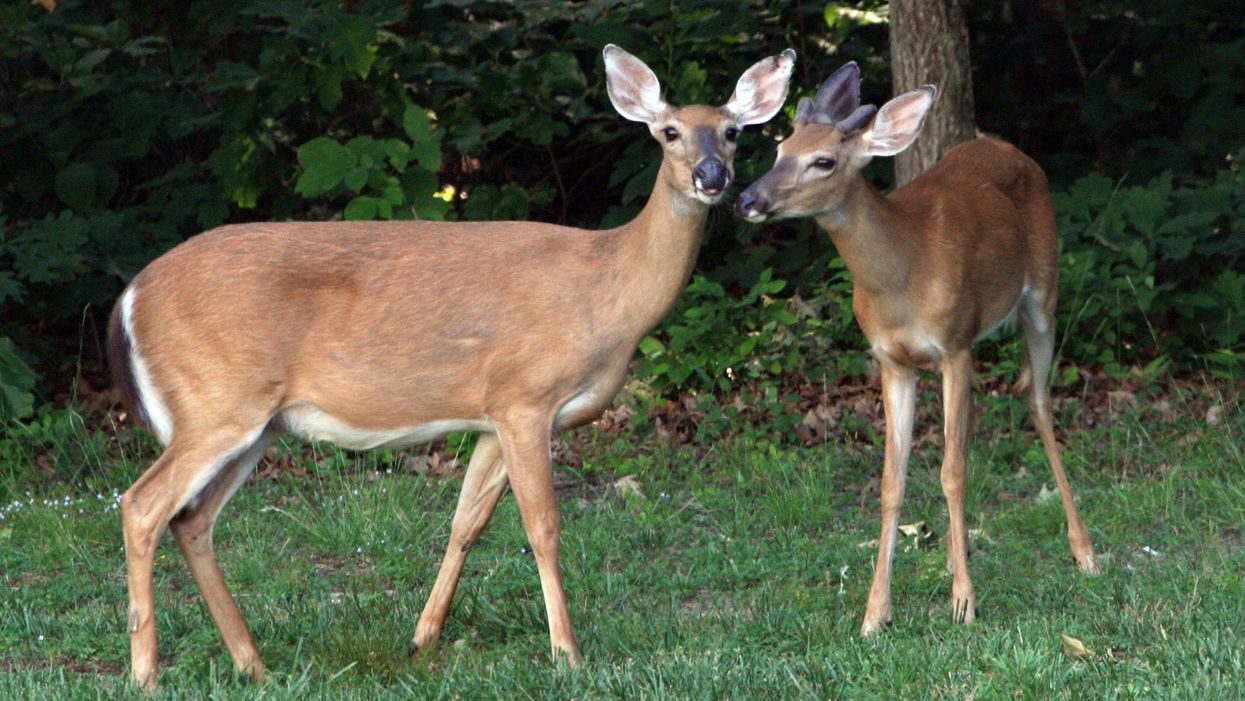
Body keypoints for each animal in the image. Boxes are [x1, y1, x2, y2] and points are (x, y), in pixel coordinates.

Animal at [106, 44, 796, 689]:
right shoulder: (525, 397)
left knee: (192, 521)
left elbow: (466, 522)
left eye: (733, 132)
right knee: (142, 506)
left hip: (257, 421)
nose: (712, 176)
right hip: (217, 401)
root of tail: (130, 298)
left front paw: (423, 638)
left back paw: (255, 666)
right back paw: (146, 673)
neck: (608, 293)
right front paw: (567, 654)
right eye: (669, 131)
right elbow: (543, 526)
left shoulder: (492, 414)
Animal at [735, 62, 1099, 635]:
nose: (746, 200)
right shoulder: (892, 360)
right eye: (779, 150)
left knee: (1037, 400)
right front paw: (874, 613)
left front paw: (964, 602)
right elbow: (892, 482)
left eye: (824, 160)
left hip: (1044, 292)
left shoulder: (952, 344)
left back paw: (1083, 550)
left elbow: (951, 473)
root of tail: (1008, 148)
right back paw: (955, 554)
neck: (903, 274)